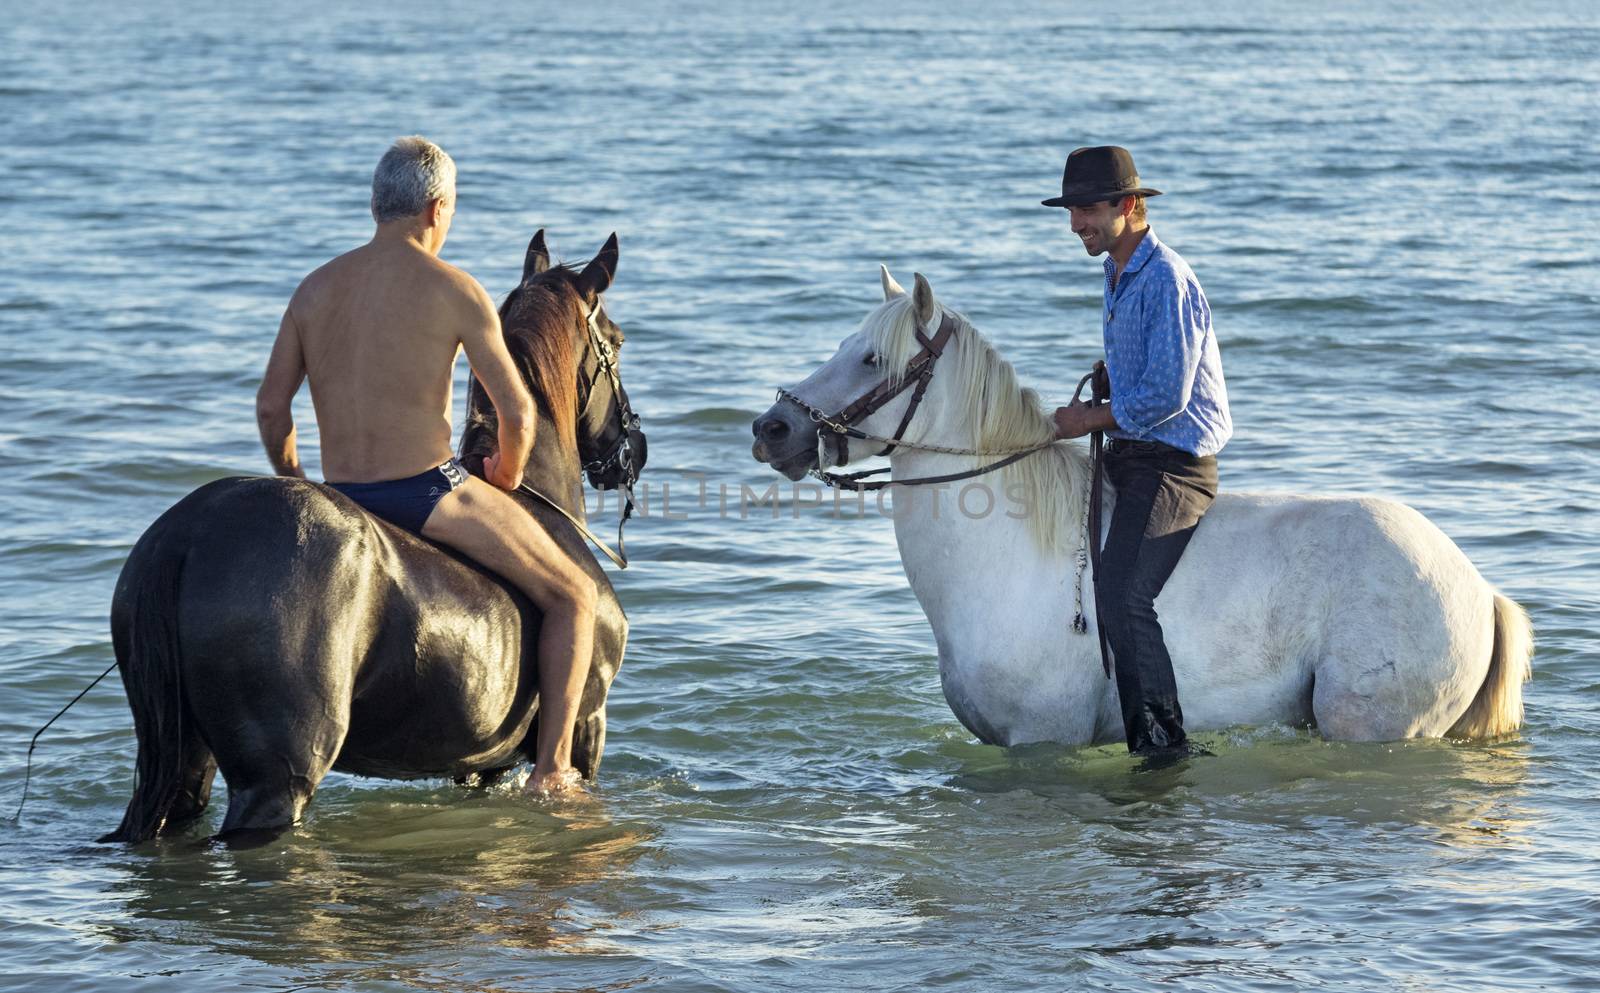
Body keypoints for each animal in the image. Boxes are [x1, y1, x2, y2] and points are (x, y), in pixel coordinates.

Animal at [755, 267, 1529, 748]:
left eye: (872, 360)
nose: (773, 428)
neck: (1003, 557)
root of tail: (1475, 584)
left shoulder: (1043, 739)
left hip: (1376, 725)